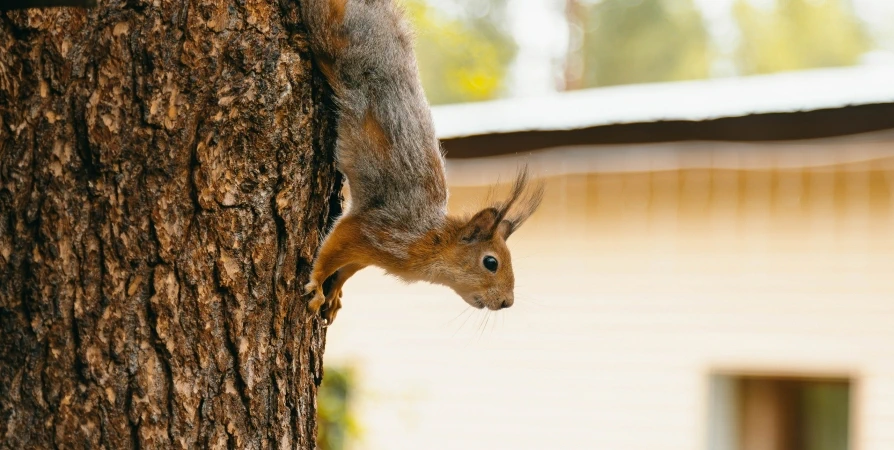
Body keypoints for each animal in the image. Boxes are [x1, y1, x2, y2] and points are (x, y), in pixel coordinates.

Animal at [300, 0, 544, 324]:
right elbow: (332, 249)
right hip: (329, 30)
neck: (431, 238)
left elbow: (348, 269)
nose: (508, 302)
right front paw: (317, 284)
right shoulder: (372, 230)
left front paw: (335, 292)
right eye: (491, 262)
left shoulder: (368, 253)